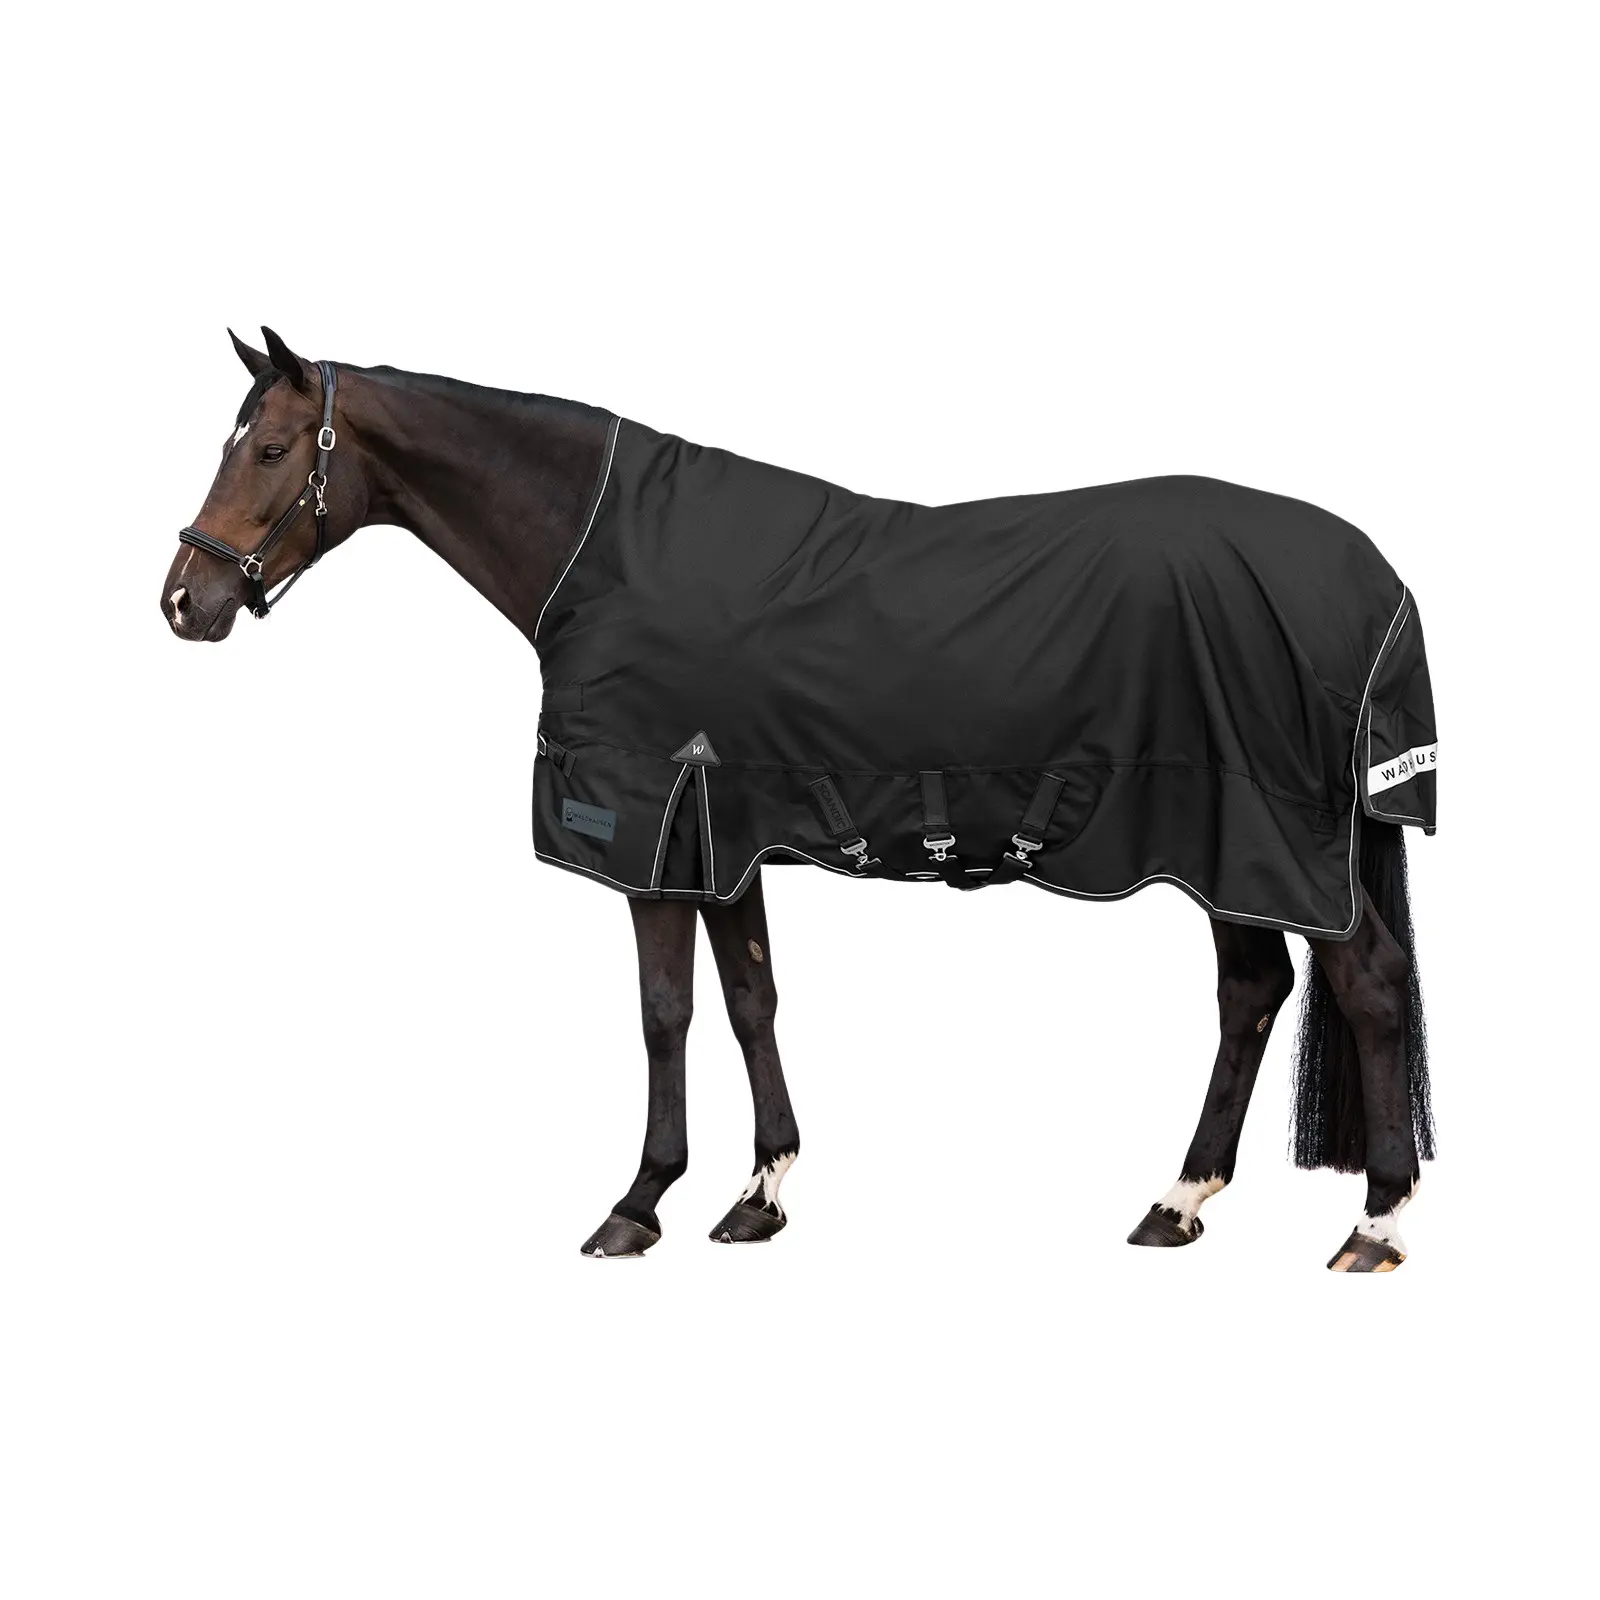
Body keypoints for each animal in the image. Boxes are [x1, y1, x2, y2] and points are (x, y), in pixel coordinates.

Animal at [162, 328, 1436, 1271]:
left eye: (268, 448)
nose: (183, 600)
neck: (607, 557)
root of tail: (1374, 581)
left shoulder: (652, 837)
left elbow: (665, 1013)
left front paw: (637, 1202)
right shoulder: (723, 833)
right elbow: (749, 1002)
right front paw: (757, 1192)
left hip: (1272, 841)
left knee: (1366, 984)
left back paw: (1372, 1224)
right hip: (1230, 850)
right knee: (1253, 992)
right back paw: (1177, 1202)